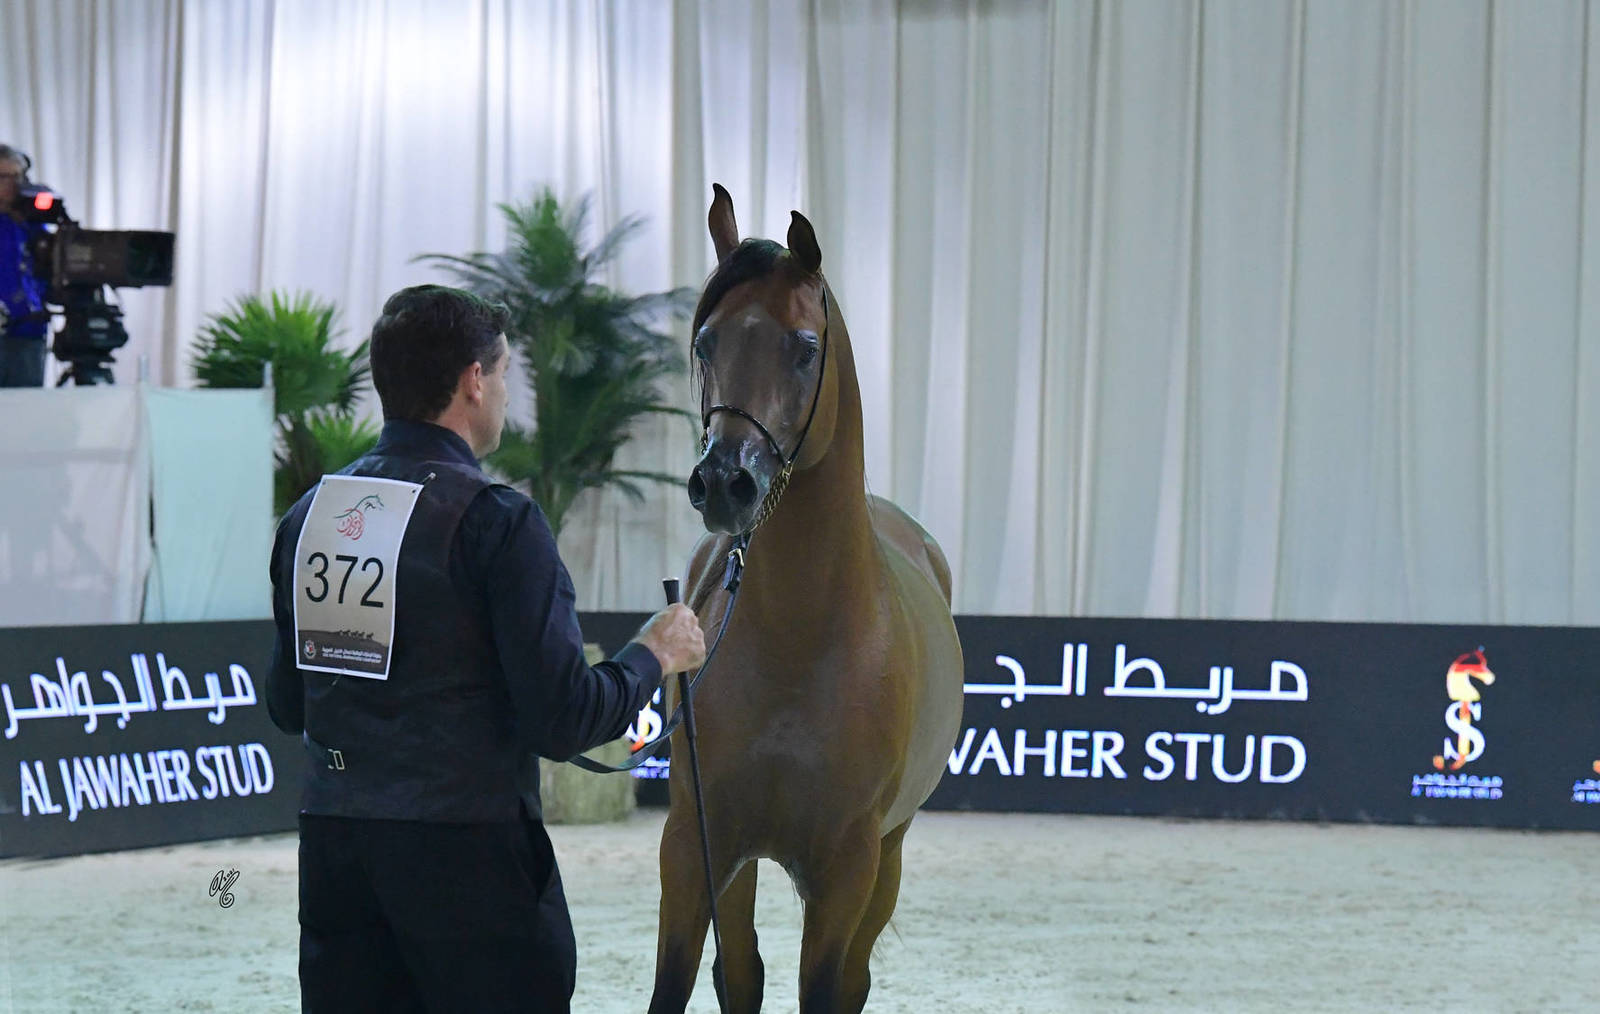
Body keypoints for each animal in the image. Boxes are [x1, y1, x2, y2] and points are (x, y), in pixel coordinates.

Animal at [649, 185, 965, 1013]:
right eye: (706, 344)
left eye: (804, 347)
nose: (724, 481)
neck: (801, 638)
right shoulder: (694, 845)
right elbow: (689, 979)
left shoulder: (848, 867)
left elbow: (825, 986)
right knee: (741, 971)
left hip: (888, 855)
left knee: (851, 979)